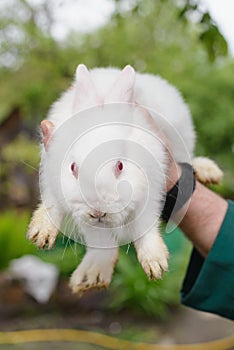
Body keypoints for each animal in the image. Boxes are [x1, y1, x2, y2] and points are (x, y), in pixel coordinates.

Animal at [27, 63, 223, 292]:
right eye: (73, 168)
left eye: (120, 166)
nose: (97, 211)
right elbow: (92, 235)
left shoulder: (151, 186)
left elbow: (146, 224)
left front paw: (155, 260)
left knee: (189, 157)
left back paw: (207, 170)